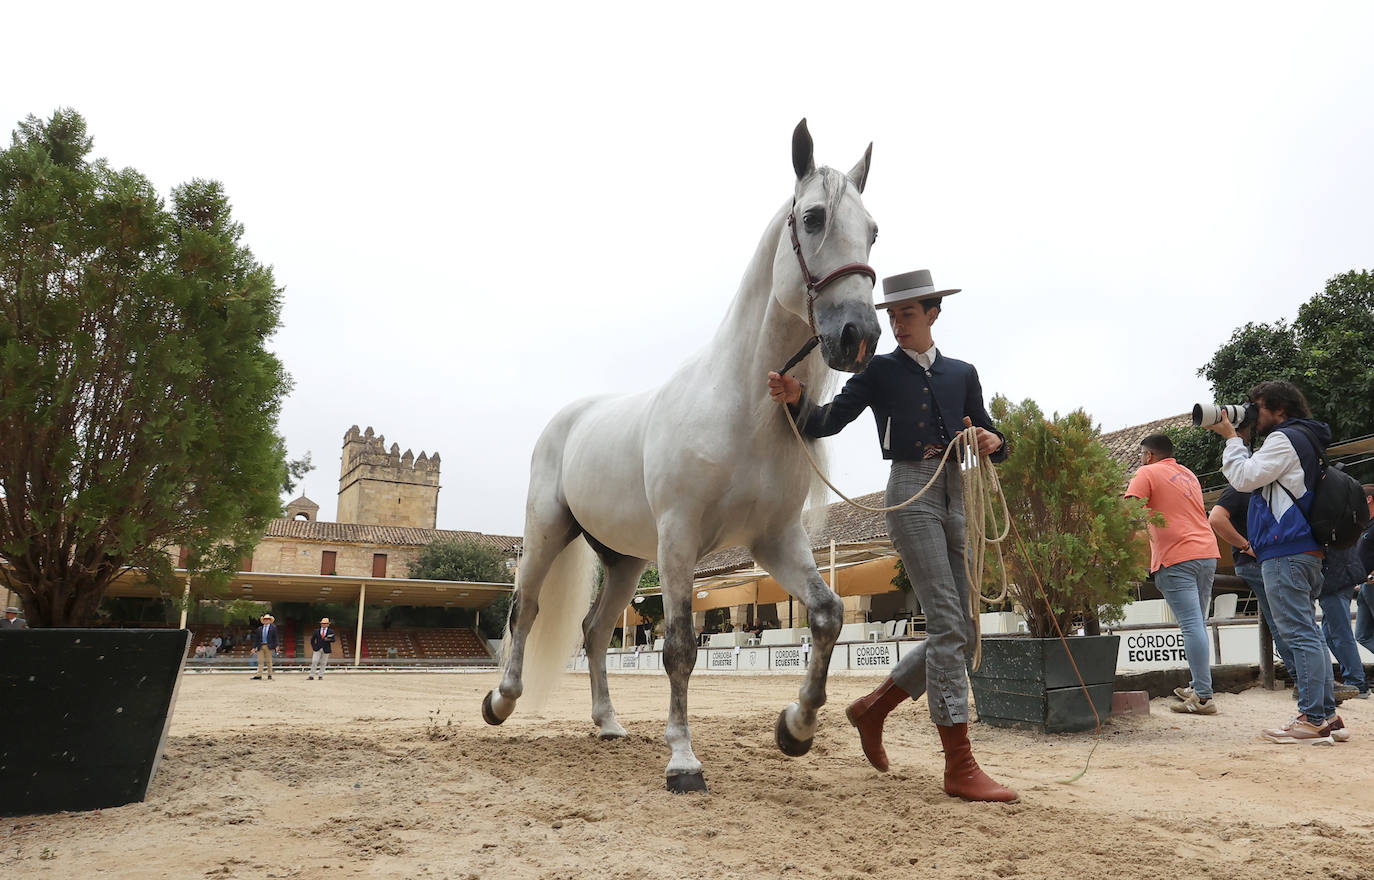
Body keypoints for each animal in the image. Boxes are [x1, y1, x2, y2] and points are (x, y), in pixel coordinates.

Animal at [483, 118, 879, 792]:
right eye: (814, 218)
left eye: (874, 230)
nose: (860, 336)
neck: (741, 407)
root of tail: (569, 418)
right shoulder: (680, 539)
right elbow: (678, 648)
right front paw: (683, 761)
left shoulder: (774, 540)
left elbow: (826, 615)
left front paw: (795, 729)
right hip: (547, 531)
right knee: (526, 609)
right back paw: (501, 701)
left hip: (622, 561)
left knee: (594, 632)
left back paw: (608, 723)